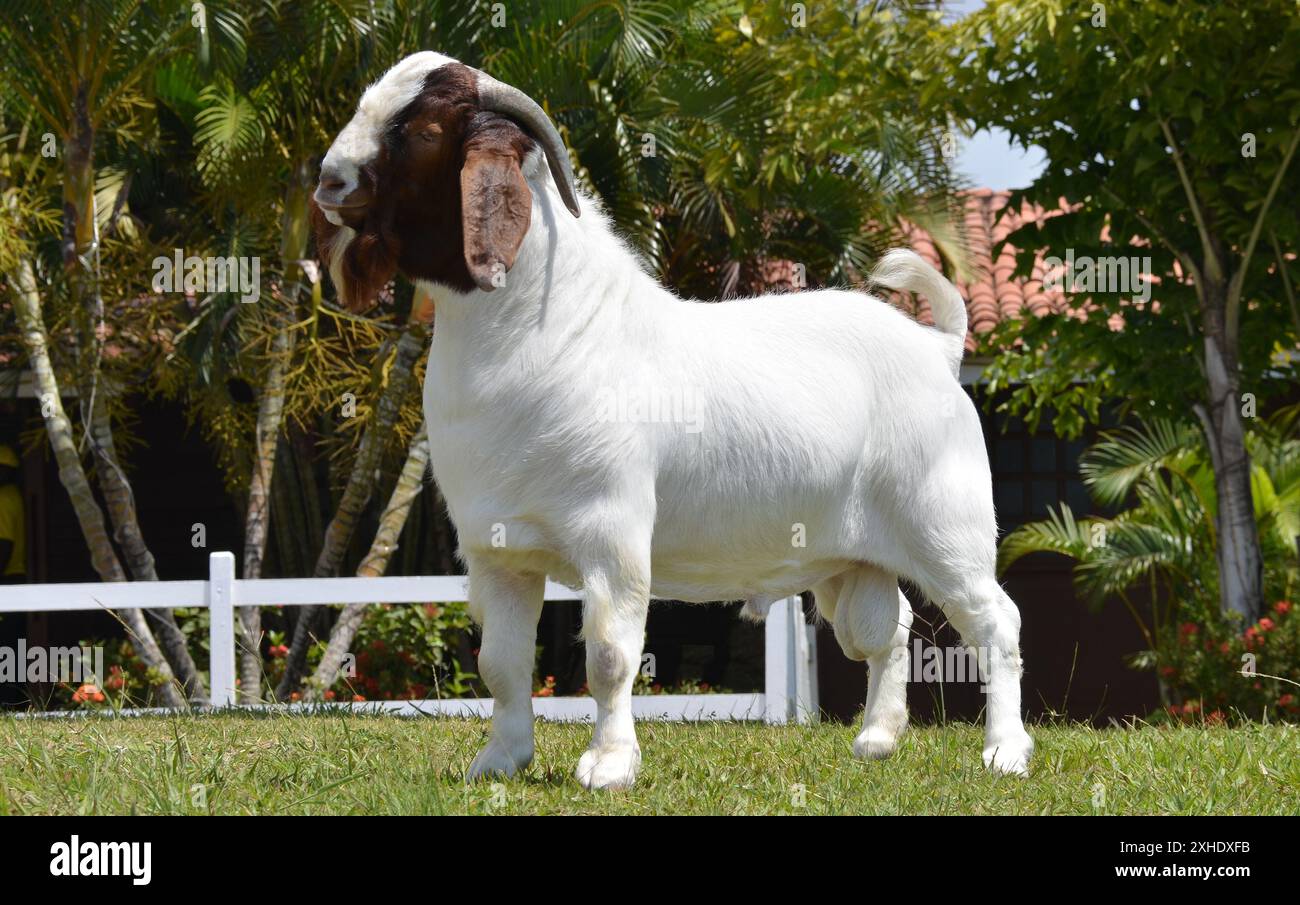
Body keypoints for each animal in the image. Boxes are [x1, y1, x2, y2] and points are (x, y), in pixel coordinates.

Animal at [313, 51, 1032, 789]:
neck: (556, 329)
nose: (329, 181)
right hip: (850, 557)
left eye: (425, 130)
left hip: (947, 529)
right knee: (887, 629)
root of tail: (939, 348)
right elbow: (502, 665)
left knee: (994, 623)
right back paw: (877, 739)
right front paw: (499, 762)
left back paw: (1005, 751)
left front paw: (609, 764)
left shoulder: (613, 536)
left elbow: (608, 656)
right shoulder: (497, 552)